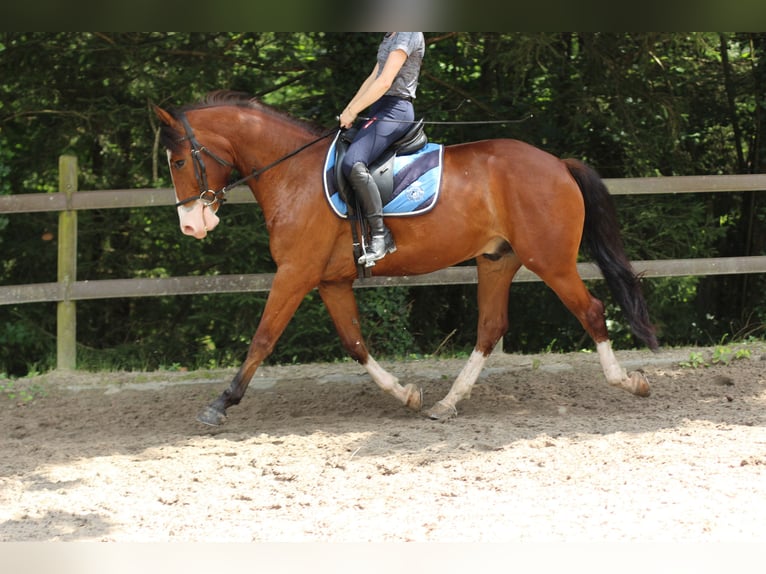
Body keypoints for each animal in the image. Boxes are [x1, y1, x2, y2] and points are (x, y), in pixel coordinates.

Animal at [154, 91, 660, 428]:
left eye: (178, 162)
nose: (191, 226)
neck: (292, 173)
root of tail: (557, 164)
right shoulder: (329, 281)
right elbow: (355, 343)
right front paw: (407, 395)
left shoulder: (295, 273)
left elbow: (262, 338)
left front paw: (221, 403)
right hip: (497, 261)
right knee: (490, 328)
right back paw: (446, 403)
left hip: (550, 262)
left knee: (591, 311)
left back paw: (628, 382)